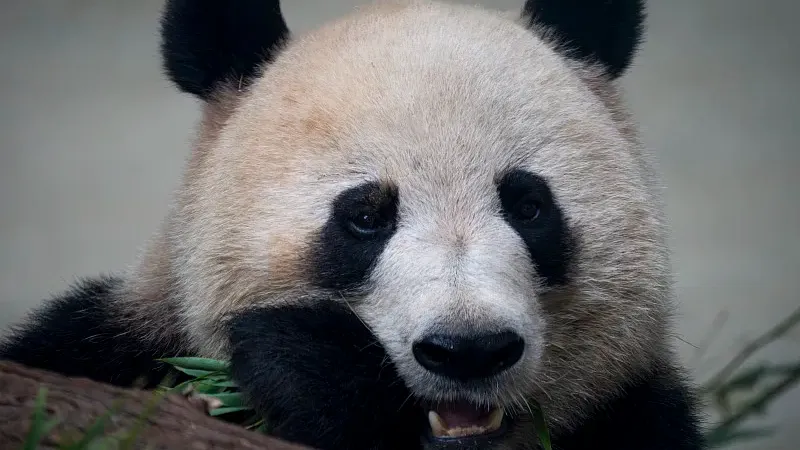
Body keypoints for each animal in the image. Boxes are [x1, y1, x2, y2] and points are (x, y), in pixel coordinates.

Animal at [1, 0, 705, 449]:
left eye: (529, 207)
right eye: (366, 216)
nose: (468, 350)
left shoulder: (638, 413)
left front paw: (307, 361)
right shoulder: (105, 348)